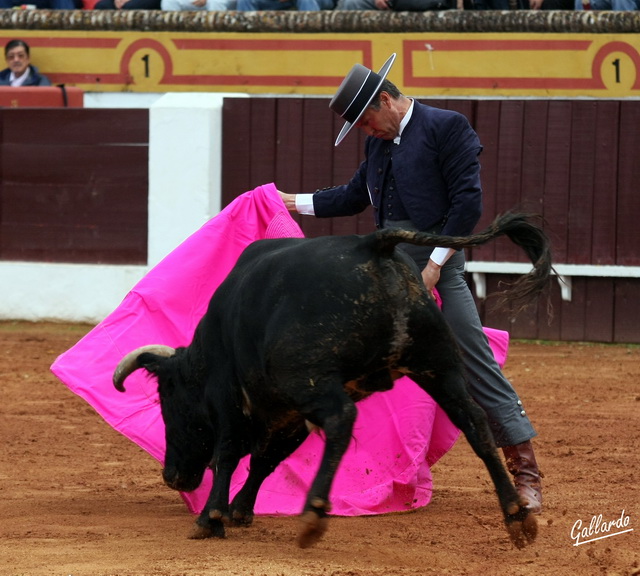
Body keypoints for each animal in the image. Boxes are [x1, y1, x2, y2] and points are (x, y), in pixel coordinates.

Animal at [111, 212, 552, 548]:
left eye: (168, 403)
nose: (172, 476)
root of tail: (373, 245)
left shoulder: (233, 398)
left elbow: (230, 454)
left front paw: (212, 517)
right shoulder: (289, 415)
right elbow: (264, 461)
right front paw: (240, 510)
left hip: (312, 380)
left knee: (342, 419)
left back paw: (313, 515)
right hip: (439, 366)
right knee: (475, 421)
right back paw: (516, 516)